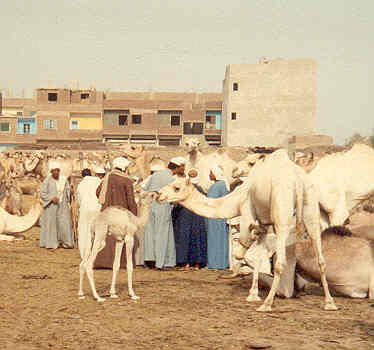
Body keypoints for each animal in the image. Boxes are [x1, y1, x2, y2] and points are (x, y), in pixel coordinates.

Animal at [156, 150, 338, 312]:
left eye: (176, 187)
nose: (158, 194)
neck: (237, 198)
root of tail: (298, 181)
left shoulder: (247, 214)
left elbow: (241, 251)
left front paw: (246, 284)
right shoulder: (264, 224)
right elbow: (258, 256)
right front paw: (253, 294)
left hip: (282, 214)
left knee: (280, 262)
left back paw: (267, 304)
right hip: (311, 209)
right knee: (321, 259)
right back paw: (329, 303)